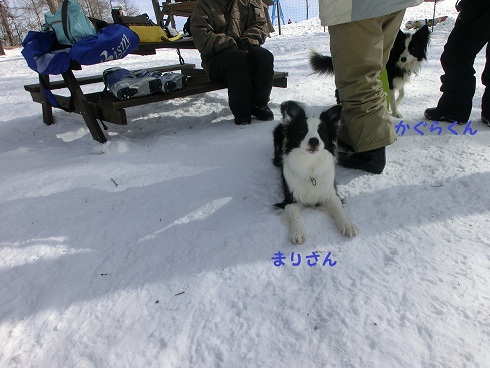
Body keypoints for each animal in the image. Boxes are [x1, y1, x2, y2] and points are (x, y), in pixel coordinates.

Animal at [272, 100, 356, 244]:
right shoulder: (290, 198)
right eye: (302, 130)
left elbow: (339, 209)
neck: (310, 164)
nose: (314, 141)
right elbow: (295, 216)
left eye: (322, 132)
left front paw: (347, 224)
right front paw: (297, 232)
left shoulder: (330, 193)